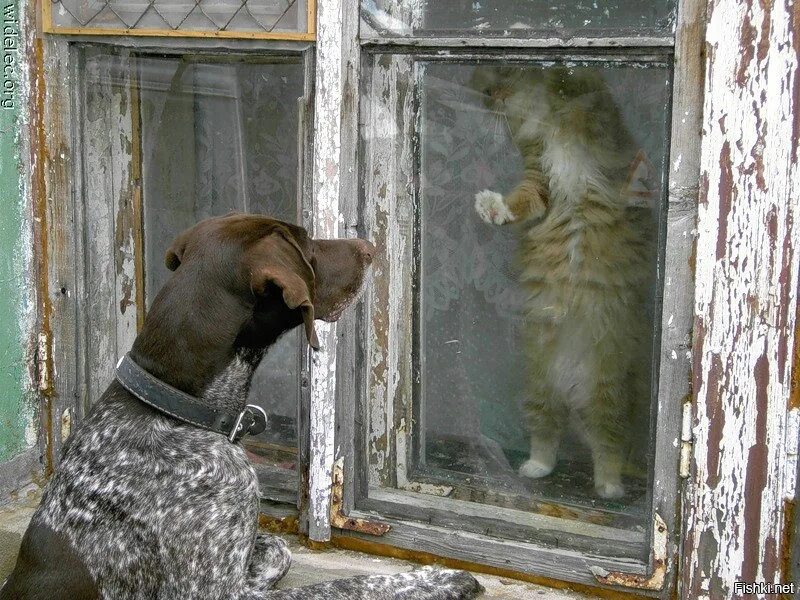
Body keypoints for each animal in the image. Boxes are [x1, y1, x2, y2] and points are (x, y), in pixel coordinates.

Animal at [1, 216, 482, 600]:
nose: (370, 248)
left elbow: (277, 548)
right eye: (306, 246)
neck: (175, 408)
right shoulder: (216, 593)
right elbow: (343, 585)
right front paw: (436, 579)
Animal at [468, 64, 656, 502]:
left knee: (609, 448)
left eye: (501, 75)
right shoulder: (538, 181)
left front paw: (556, 73)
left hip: (607, 394)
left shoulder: (600, 128)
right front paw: (492, 208)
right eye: (485, 90)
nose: (491, 97)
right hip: (541, 388)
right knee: (547, 437)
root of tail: (572, 389)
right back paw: (537, 469)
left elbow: (578, 88)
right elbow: (519, 203)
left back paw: (610, 488)